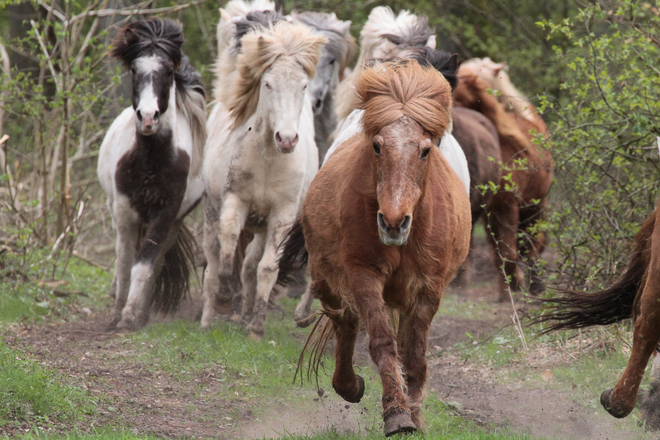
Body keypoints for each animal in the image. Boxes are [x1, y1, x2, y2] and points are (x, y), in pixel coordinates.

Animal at [97, 19, 206, 330]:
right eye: (135, 70)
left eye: (168, 71)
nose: (148, 118)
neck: (150, 162)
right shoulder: (124, 211)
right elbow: (124, 264)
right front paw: (117, 314)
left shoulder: (165, 214)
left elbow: (144, 265)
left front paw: (130, 315)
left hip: (174, 223)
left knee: (155, 263)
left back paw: (142, 314)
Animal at [201, 20, 324, 336]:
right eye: (268, 84)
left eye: (303, 85)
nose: (287, 139)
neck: (269, 159)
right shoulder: (236, 200)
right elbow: (229, 240)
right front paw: (224, 298)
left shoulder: (282, 216)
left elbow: (267, 268)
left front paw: (256, 328)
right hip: (211, 212)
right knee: (212, 263)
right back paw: (208, 318)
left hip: (261, 228)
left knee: (250, 266)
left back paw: (245, 314)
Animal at [276, 62, 472, 436]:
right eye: (378, 146)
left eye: (425, 149)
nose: (393, 222)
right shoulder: (364, 276)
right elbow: (381, 341)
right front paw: (396, 412)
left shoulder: (428, 287)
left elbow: (414, 354)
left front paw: (414, 414)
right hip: (328, 279)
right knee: (344, 320)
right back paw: (349, 385)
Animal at [454, 66, 552, 300]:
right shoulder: (490, 211)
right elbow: (499, 252)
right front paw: (508, 290)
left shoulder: (506, 205)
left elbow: (511, 250)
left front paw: (516, 288)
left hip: (535, 205)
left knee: (532, 244)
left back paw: (536, 286)